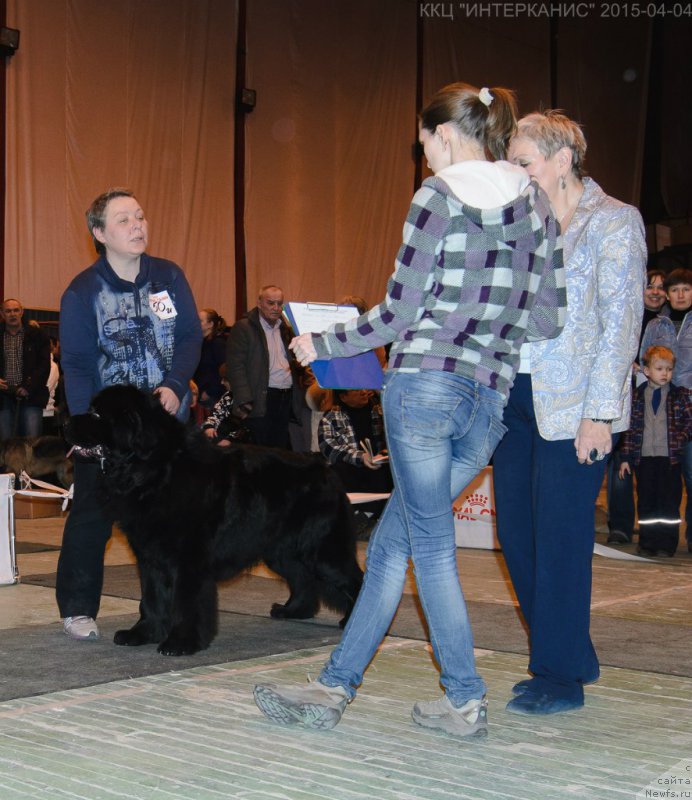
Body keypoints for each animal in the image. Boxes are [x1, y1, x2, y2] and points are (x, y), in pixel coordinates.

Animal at [67, 386, 364, 656]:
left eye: (96, 414)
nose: (67, 421)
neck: (156, 470)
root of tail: (327, 470)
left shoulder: (188, 560)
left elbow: (185, 602)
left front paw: (181, 643)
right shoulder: (150, 556)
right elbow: (152, 598)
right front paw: (143, 633)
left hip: (323, 551)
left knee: (354, 580)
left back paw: (351, 622)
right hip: (282, 551)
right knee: (303, 578)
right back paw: (293, 610)